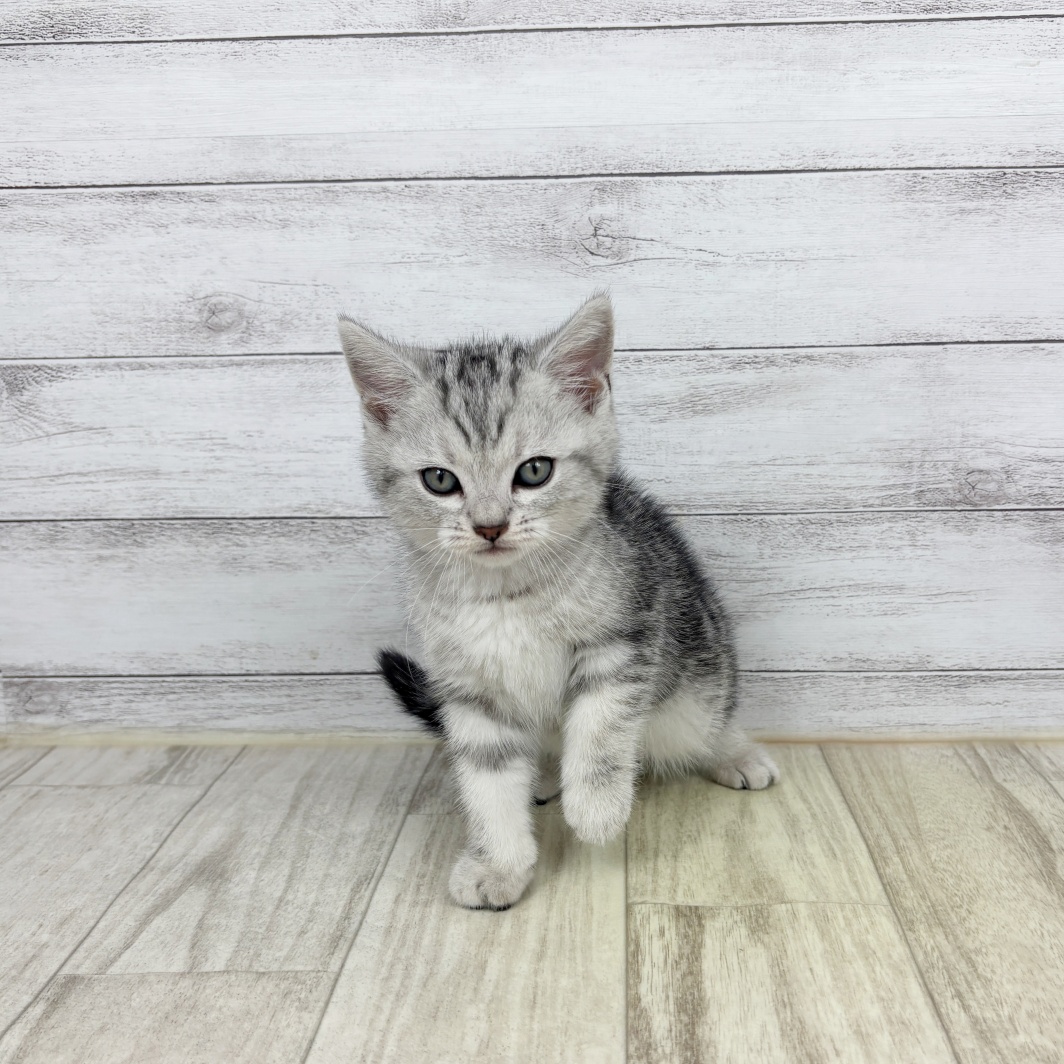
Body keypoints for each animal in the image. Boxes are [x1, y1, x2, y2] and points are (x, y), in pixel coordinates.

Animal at [338, 294, 779, 911]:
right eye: (439, 480)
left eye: (534, 471)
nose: (490, 526)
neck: (505, 595)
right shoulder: (469, 688)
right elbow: (489, 778)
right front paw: (499, 863)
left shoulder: (625, 636)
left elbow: (599, 725)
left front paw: (596, 806)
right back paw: (545, 777)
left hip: (698, 672)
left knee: (707, 721)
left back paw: (733, 754)